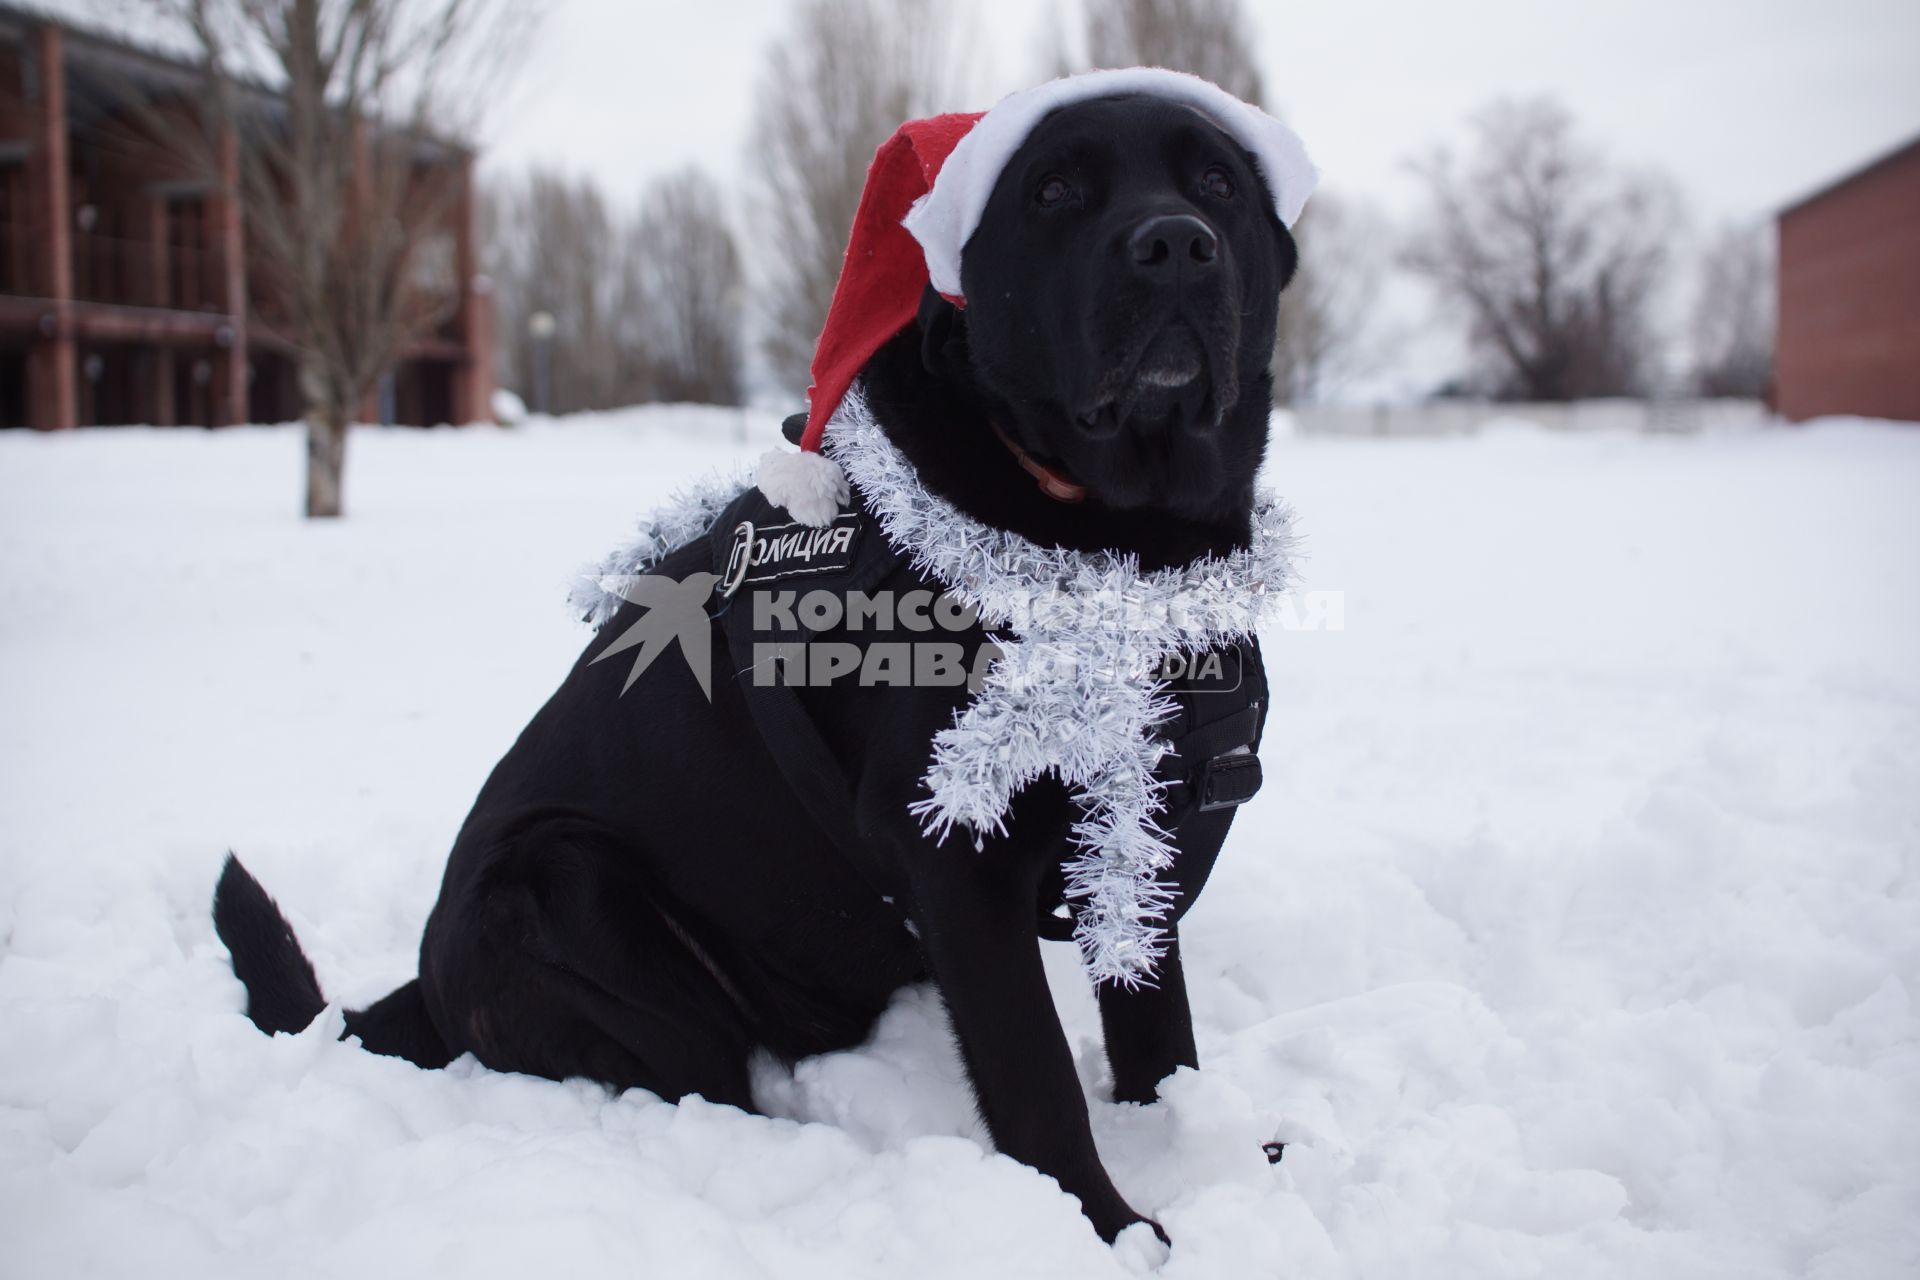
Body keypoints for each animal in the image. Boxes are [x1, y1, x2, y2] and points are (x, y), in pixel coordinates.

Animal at [217, 94, 1297, 1243]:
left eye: (1217, 182)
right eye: (1052, 189)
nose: (1175, 242)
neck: (1123, 541)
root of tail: (422, 982)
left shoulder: (1141, 822)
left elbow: (1154, 1022)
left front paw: (1195, 1145)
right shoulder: (953, 849)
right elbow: (1034, 1072)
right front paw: (1111, 1228)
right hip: (570, 883)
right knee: (704, 1084)